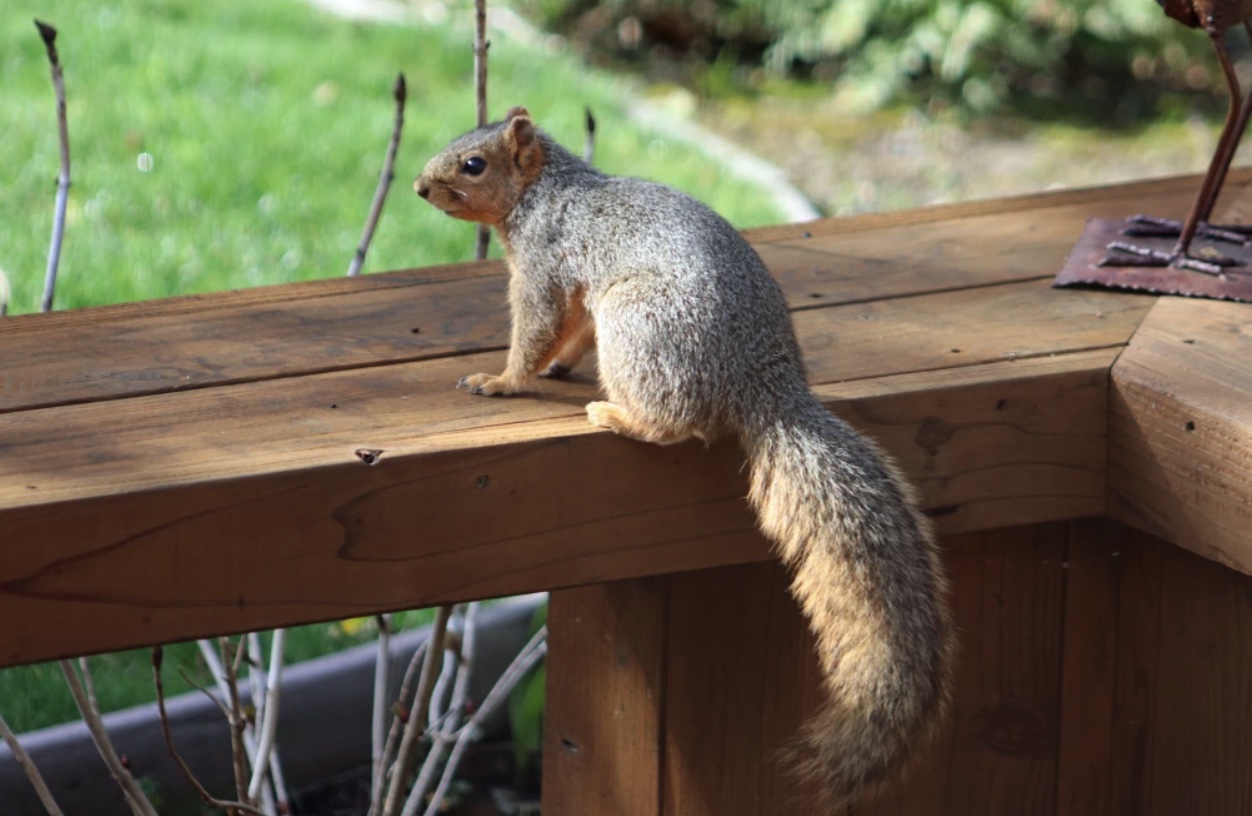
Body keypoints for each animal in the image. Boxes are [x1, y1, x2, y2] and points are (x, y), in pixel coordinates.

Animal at [416, 107, 955, 810]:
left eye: (474, 164)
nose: (421, 189)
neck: (547, 191)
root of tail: (762, 381)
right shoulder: (576, 291)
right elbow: (568, 333)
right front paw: (558, 369)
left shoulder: (545, 263)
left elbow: (535, 329)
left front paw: (501, 380)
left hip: (639, 328)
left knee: (677, 423)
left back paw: (619, 415)